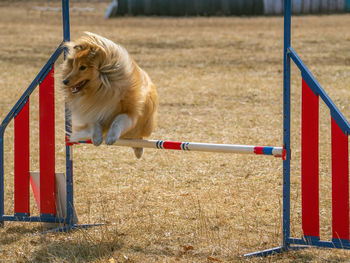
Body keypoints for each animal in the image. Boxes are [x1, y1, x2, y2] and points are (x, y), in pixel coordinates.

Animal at [60, 31, 159, 159]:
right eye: (74, 66)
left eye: (82, 67)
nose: (65, 81)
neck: (102, 89)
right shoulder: (92, 111)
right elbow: (94, 123)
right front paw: (96, 138)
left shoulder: (131, 112)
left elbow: (118, 120)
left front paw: (111, 137)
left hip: (145, 125)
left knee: (138, 136)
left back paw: (138, 150)